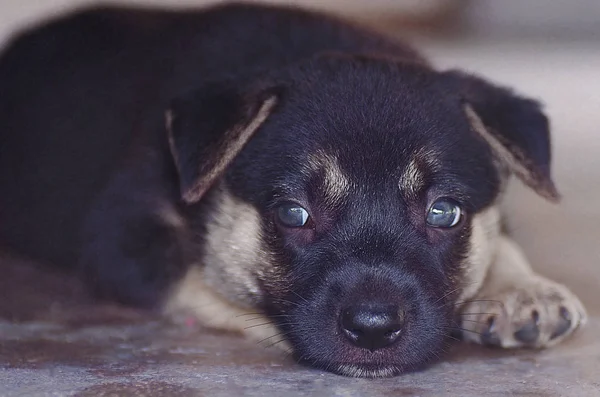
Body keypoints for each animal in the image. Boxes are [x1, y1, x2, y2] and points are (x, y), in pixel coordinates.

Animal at [0, 1, 584, 378]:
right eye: (293, 214)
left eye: (444, 213)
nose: (374, 329)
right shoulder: (123, 240)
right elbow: (216, 288)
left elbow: (500, 235)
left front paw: (524, 289)